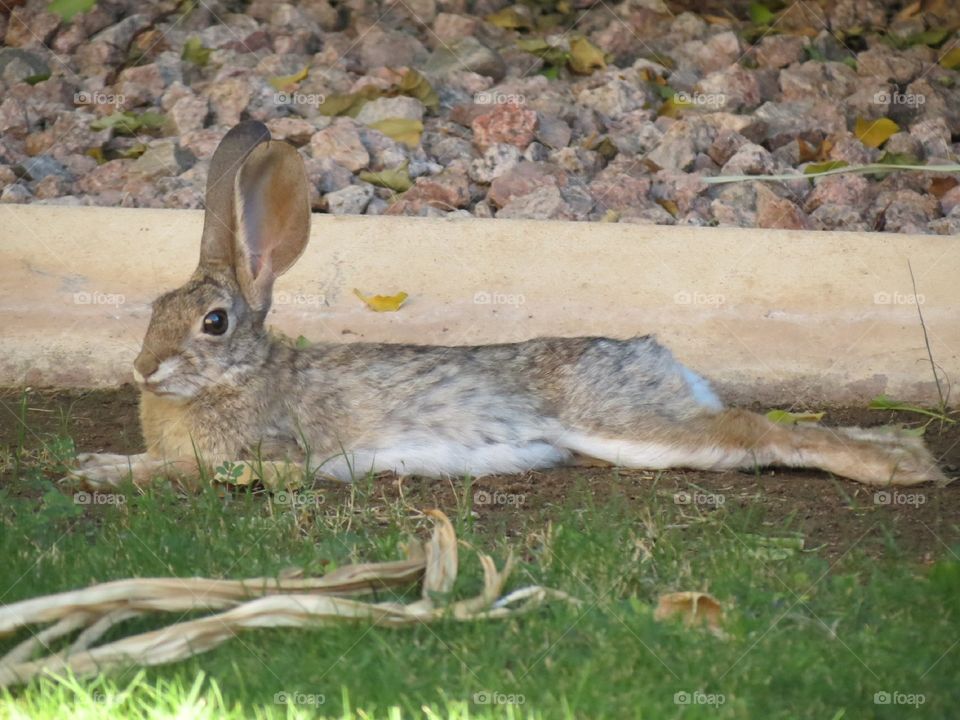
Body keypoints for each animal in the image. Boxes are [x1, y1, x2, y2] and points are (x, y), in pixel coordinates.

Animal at [65, 122, 944, 490]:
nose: (142, 370)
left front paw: (103, 471)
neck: (242, 376)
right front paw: (98, 462)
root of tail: (658, 356)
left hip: (624, 424)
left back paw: (902, 470)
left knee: (759, 434)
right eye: (153, 306)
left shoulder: (269, 453)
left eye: (212, 323)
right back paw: (907, 453)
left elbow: (180, 472)